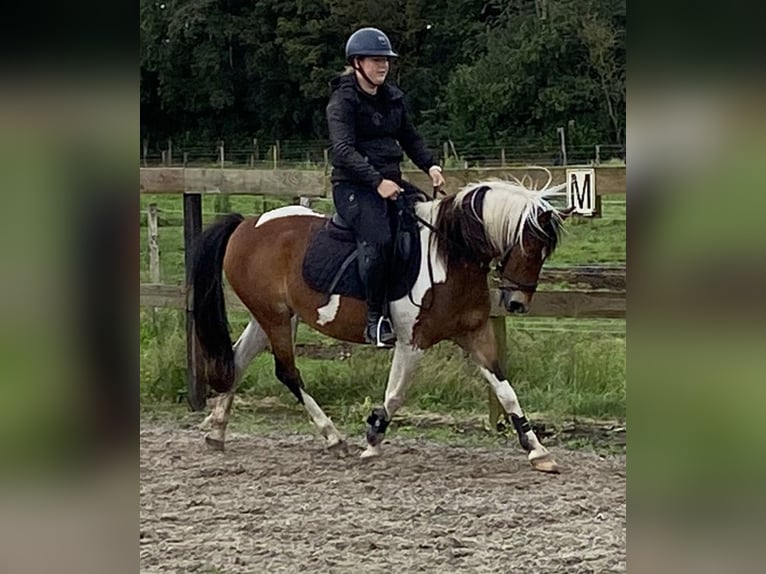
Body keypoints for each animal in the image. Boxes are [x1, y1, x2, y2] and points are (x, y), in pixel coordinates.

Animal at [192, 180, 568, 472]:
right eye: (529, 245)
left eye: (543, 252)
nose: (516, 303)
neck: (449, 256)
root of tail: (247, 224)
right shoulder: (412, 342)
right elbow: (396, 393)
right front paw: (373, 437)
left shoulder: (475, 334)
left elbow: (506, 390)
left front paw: (537, 450)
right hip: (275, 317)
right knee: (286, 372)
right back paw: (333, 437)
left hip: (271, 315)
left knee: (238, 360)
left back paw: (217, 432)